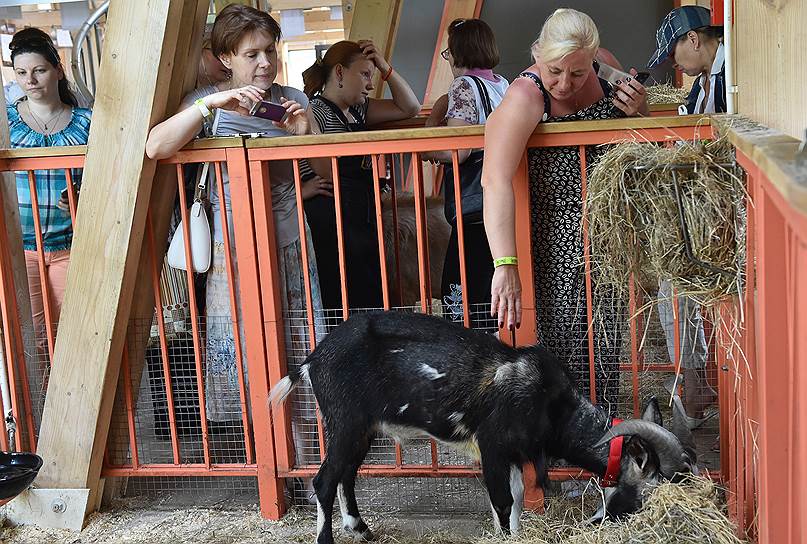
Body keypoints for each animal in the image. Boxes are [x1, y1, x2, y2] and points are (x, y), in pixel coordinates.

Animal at [270, 310, 696, 544]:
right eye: (652, 494)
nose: (597, 521)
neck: (550, 401)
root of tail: (313, 359)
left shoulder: (514, 455)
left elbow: (517, 501)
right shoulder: (492, 445)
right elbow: (504, 501)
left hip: (364, 429)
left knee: (346, 475)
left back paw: (361, 530)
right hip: (345, 421)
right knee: (325, 479)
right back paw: (328, 538)